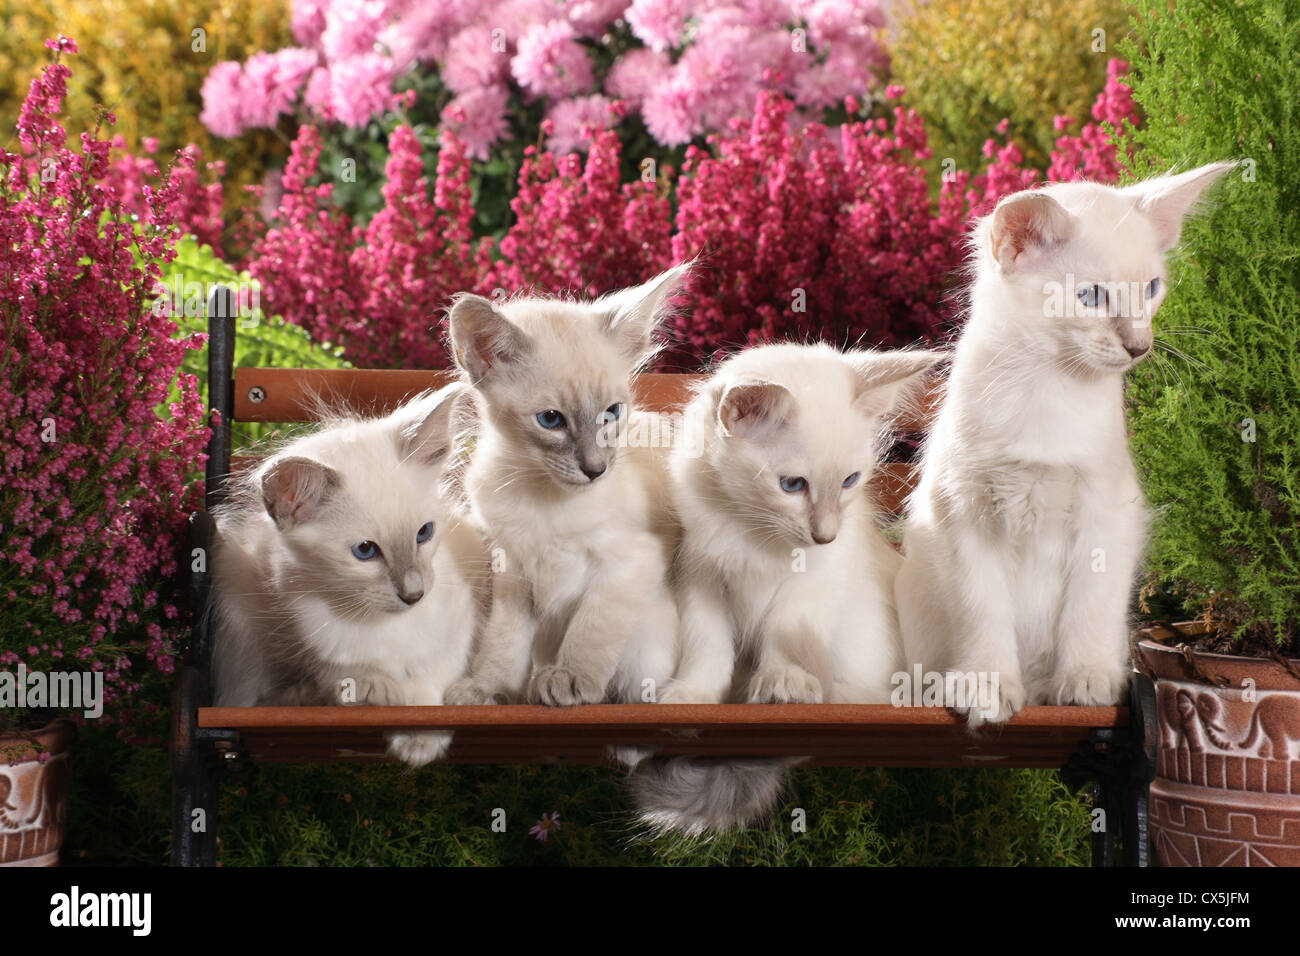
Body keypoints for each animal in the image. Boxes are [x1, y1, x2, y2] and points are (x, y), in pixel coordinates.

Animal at [213, 385, 488, 764]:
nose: (413, 595)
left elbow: (431, 687)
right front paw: (378, 691)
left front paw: (420, 739)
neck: (384, 624)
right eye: (365, 551)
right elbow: (344, 673)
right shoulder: (299, 627)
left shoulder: (459, 621)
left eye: (424, 533)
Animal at [444, 267, 691, 712]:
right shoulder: (514, 570)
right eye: (551, 420)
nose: (595, 470)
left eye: (612, 413)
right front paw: (485, 688)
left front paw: (572, 678)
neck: (543, 497)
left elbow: (591, 628)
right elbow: (503, 643)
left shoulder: (629, 561)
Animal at [634, 340, 941, 832]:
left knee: (870, 693)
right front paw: (694, 696)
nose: (824, 536)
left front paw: (784, 686)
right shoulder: (701, 576)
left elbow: (786, 634)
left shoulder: (813, 584)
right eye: (792, 485)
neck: (753, 533)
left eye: (850, 481)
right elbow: (708, 648)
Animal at [899, 160, 1232, 723]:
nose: (1139, 346)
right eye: (1091, 297)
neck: (1048, 386)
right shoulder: (961, 513)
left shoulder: (1108, 514)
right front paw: (986, 686)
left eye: (1151, 289)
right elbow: (981, 611)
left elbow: (1089, 609)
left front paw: (1086, 681)